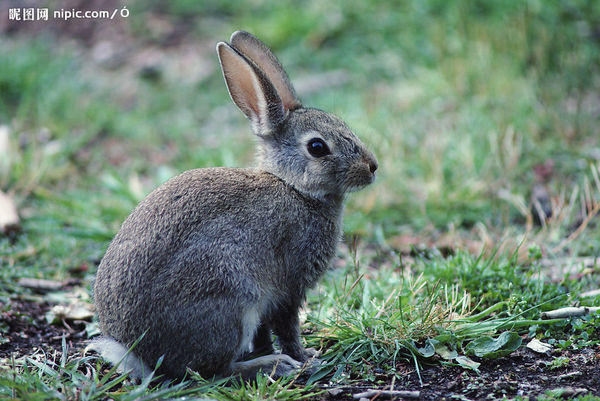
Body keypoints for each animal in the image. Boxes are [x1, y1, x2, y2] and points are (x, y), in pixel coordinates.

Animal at [91, 29, 378, 380]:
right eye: (317, 147)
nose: (372, 167)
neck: (294, 187)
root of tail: (137, 353)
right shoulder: (288, 288)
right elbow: (287, 328)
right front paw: (307, 358)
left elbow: (265, 334)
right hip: (230, 299)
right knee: (212, 371)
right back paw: (272, 365)